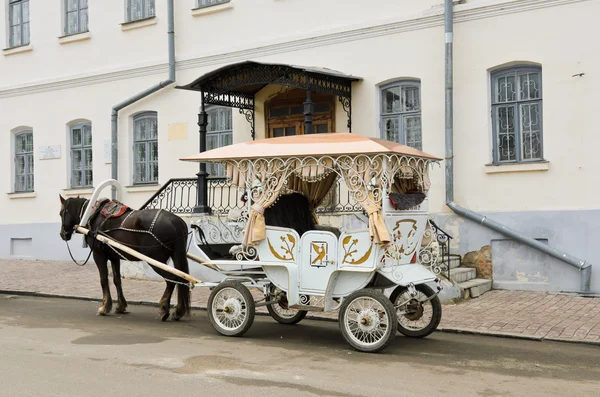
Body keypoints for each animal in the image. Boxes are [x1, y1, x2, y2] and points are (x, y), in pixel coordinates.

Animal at [58, 195, 190, 322]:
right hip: (175, 256)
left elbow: (103, 280)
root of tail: (175, 221)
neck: (93, 215)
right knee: (181, 278)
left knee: (171, 279)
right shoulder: (114, 257)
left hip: (156, 260)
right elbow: (117, 280)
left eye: (61, 213)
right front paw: (120, 306)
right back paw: (178, 311)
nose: (62, 234)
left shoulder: (98, 255)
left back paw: (164, 308)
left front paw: (105, 307)